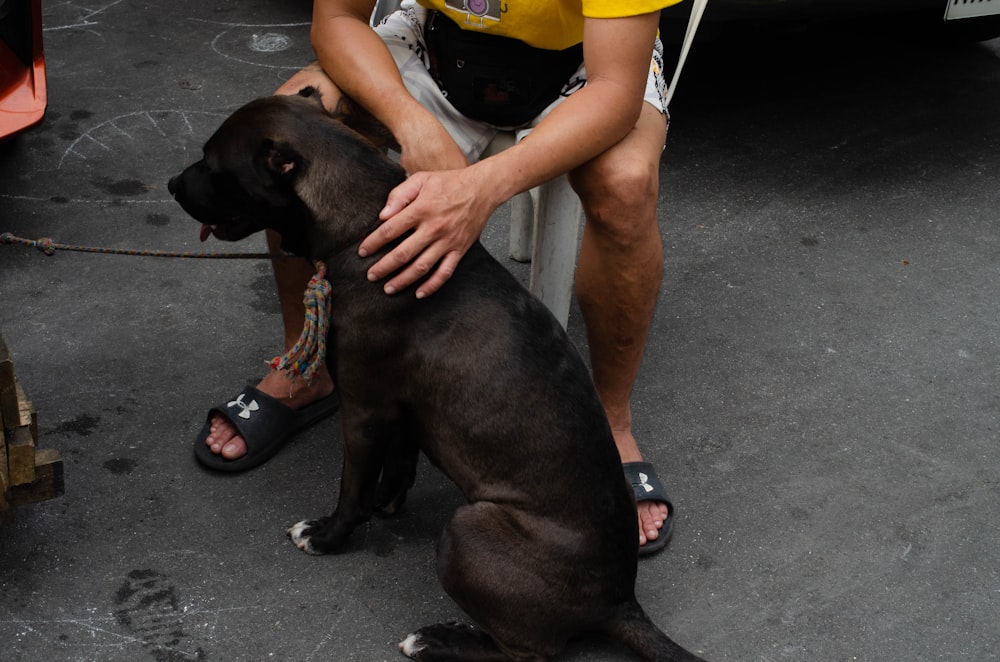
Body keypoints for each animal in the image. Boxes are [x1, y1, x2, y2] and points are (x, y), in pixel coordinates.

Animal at [168, 89, 704, 662]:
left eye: (213, 164)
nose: (173, 184)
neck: (363, 226)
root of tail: (620, 601)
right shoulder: (403, 408)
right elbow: (399, 464)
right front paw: (387, 503)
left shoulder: (363, 409)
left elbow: (351, 487)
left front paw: (330, 535)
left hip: (468, 527)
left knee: (526, 653)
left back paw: (436, 639)